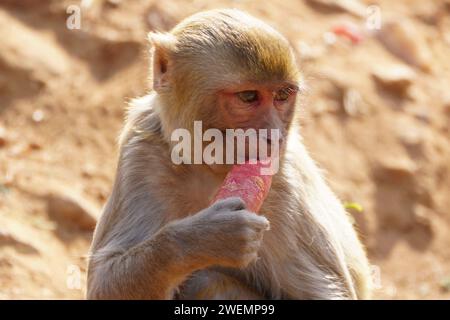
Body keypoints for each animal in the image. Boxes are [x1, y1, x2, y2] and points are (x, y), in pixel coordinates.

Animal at [85, 9, 372, 300]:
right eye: (248, 97)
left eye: (282, 95)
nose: (274, 136)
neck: (210, 168)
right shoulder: (142, 153)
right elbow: (103, 281)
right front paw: (206, 237)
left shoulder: (285, 185)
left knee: (207, 281)